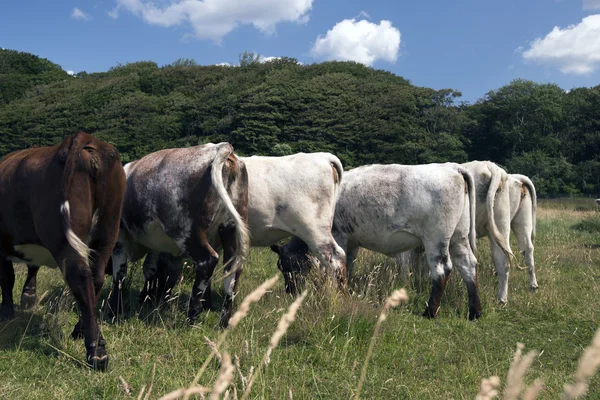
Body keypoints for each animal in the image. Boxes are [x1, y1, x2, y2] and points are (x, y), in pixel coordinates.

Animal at [0, 132, 125, 372]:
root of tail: (85, 138)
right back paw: (80, 331)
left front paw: (7, 311)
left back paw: (96, 352)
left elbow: (7, 278)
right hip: (108, 228)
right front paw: (27, 298)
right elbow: (30, 267)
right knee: (95, 278)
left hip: (61, 235)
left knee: (80, 277)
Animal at [108, 142, 248, 326]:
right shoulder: (160, 247)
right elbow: (159, 272)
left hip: (188, 234)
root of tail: (219, 147)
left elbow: (120, 275)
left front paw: (115, 310)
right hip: (230, 230)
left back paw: (192, 316)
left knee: (208, 261)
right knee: (232, 272)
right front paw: (154, 300)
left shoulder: (120, 239)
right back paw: (223, 322)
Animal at [272, 162, 482, 318]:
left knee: (441, 270)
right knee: (467, 264)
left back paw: (430, 311)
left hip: (436, 238)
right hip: (459, 236)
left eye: (287, 266)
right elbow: (347, 264)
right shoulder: (351, 242)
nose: (289, 291)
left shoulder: (338, 236)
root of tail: (452, 168)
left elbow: (332, 265)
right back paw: (475, 311)